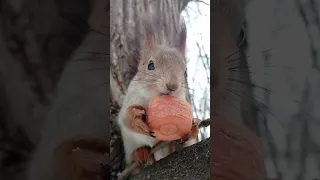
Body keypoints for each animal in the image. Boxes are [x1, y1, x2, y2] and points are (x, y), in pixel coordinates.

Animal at [117, 13, 200, 167]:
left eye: (185, 71)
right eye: (150, 65)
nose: (172, 86)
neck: (153, 97)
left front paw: (192, 127)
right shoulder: (131, 97)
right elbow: (125, 118)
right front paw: (137, 118)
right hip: (130, 144)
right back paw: (140, 153)